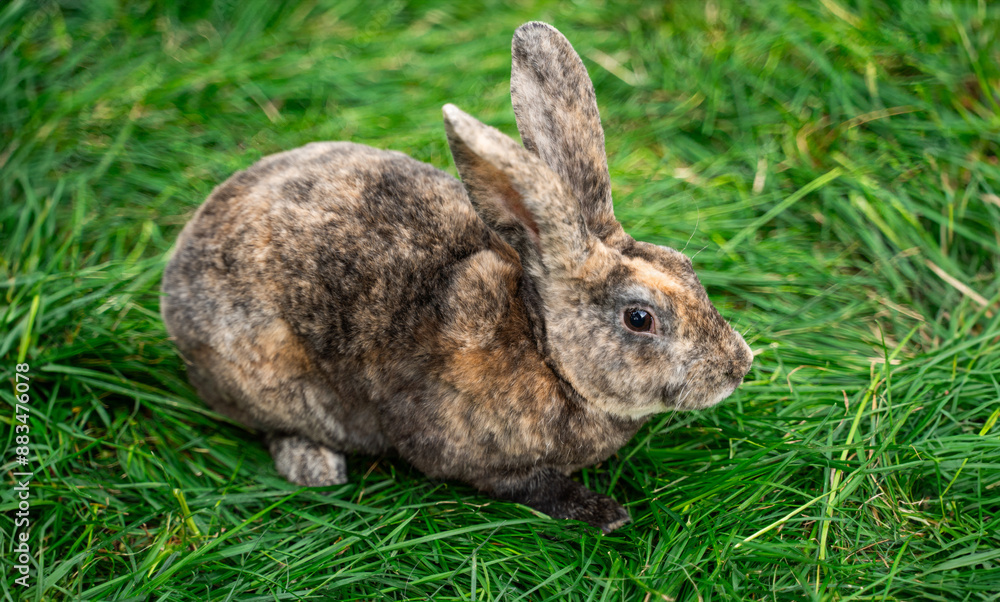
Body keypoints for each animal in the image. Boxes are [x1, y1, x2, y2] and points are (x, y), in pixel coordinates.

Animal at [161, 21, 752, 534]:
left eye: (684, 265)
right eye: (639, 317)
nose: (739, 366)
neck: (546, 351)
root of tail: (178, 268)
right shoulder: (481, 459)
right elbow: (533, 488)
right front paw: (605, 513)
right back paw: (316, 466)